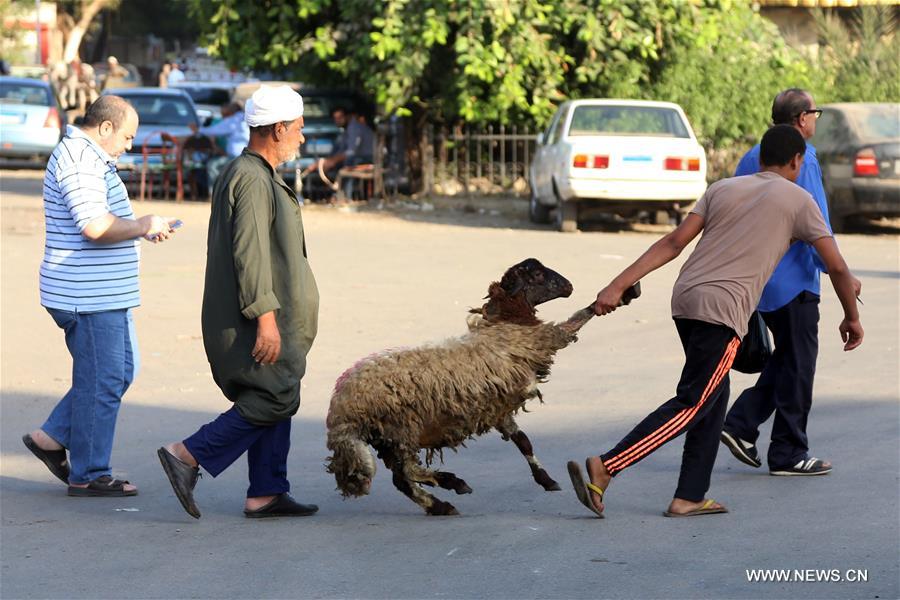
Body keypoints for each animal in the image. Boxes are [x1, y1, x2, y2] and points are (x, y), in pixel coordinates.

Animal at [326, 258, 640, 516]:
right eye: (538, 273)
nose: (570, 286)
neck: (506, 323)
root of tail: (340, 409)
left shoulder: (499, 406)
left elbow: (523, 440)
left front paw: (546, 480)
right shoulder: (545, 341)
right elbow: (577, 319)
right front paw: (621, 295)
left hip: (386, 438)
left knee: (402, 480)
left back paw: (440, 505)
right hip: (401, 429)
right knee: (407, 474)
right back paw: (452, 484)